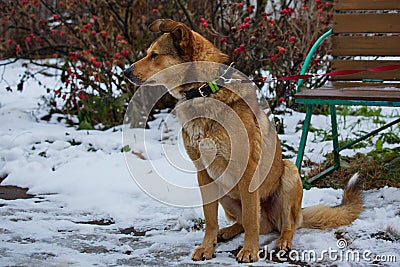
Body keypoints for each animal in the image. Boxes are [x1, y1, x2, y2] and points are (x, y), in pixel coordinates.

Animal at [124, 18, 362, 264]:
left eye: (155, 55)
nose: (125, 72)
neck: (203, 91)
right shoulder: (203, 173)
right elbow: (210, 218)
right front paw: (207, 246)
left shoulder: (247, 171)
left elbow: (249, 219)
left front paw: (249, 251)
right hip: (223, 189)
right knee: (253, 223)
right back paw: (227, 232)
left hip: (289, 173)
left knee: (284, 224)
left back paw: (283, 241)